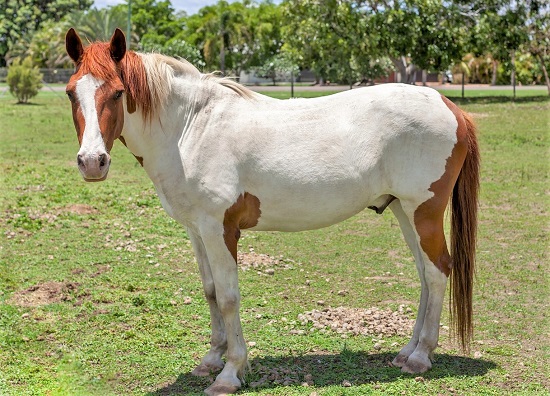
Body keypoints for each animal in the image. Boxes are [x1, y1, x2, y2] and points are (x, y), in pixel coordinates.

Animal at [63, 28, 478, 396]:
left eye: (118, 92)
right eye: (71, 93)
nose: (92, 162)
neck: (191, 128)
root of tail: (450, 107)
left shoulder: (220, 229)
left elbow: (228, 297)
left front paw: (230, 373)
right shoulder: (196, 230)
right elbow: (210, 291)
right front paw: (211, 359)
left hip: (423, 211)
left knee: (437, 271)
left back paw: (421, 357)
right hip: (404, 212)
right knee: (425, 274)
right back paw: (407, 351)